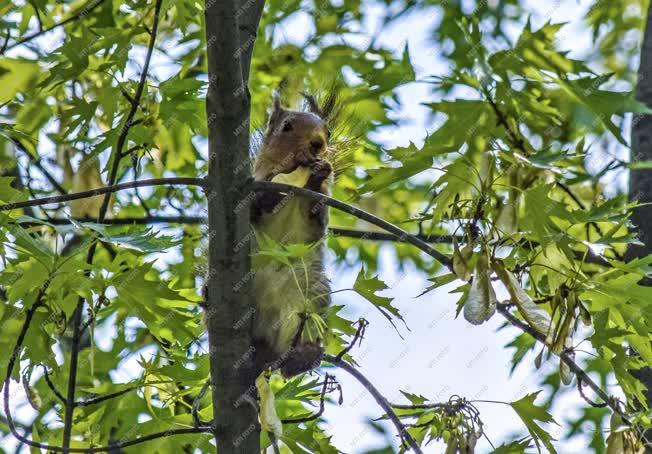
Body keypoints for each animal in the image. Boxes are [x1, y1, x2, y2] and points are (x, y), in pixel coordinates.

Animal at [250, 90, 338, 378]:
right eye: (286, 126)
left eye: (328, 132)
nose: (317, 143)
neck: (297, 177)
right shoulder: (254, 184)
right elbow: (259, 202)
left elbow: (317, 222)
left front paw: (321, 172)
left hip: (310, 293)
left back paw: (301, 356)